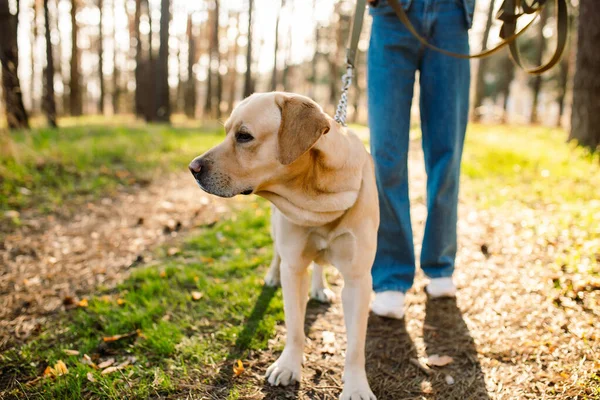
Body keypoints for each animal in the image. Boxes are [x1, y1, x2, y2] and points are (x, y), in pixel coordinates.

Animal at [188, 92, 378, 398]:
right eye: (226, 131)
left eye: (244, 136)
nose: (192, 168)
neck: (317, 200)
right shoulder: (293, 267)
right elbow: (295, 327)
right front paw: (288, 365)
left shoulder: (358, 279)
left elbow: (355, 345)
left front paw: (356, 386)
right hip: (276, 227)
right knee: (277, 253)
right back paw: (271, 276)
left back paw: (319, 287)